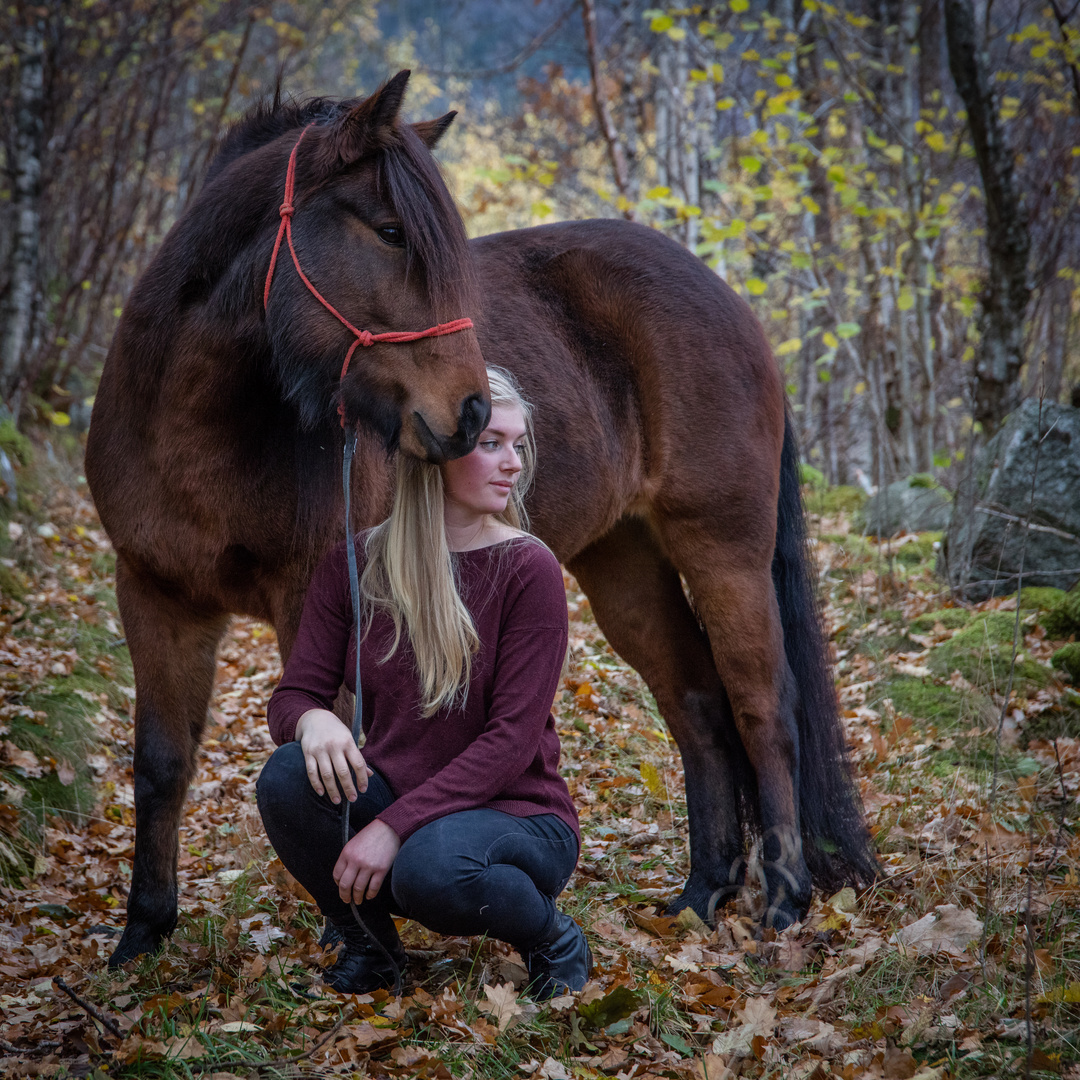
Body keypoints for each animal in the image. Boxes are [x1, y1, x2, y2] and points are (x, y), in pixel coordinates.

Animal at [86, 71, 876, 967]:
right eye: (390, 231)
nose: (472, 414)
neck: (195, 427)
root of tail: (732, 304)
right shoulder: (154, 594)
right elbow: (161, 764)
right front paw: (142, 935)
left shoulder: (308, 599)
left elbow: (328, 752)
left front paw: (352, 934)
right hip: (622, 561)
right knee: (698, 705)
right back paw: (701, 894)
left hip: (724, 550)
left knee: (763, 707)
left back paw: (783, 900)